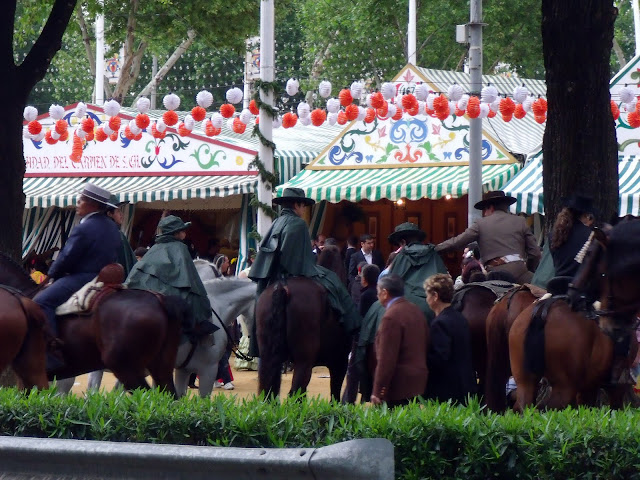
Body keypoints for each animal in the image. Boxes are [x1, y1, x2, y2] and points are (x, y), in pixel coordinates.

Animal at [510, 223, 640, 410]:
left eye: (591, 255)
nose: (574, 296)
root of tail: (542, 312)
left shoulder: (588, 387)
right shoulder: (614, 389)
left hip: (525, 383)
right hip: (564, 388)